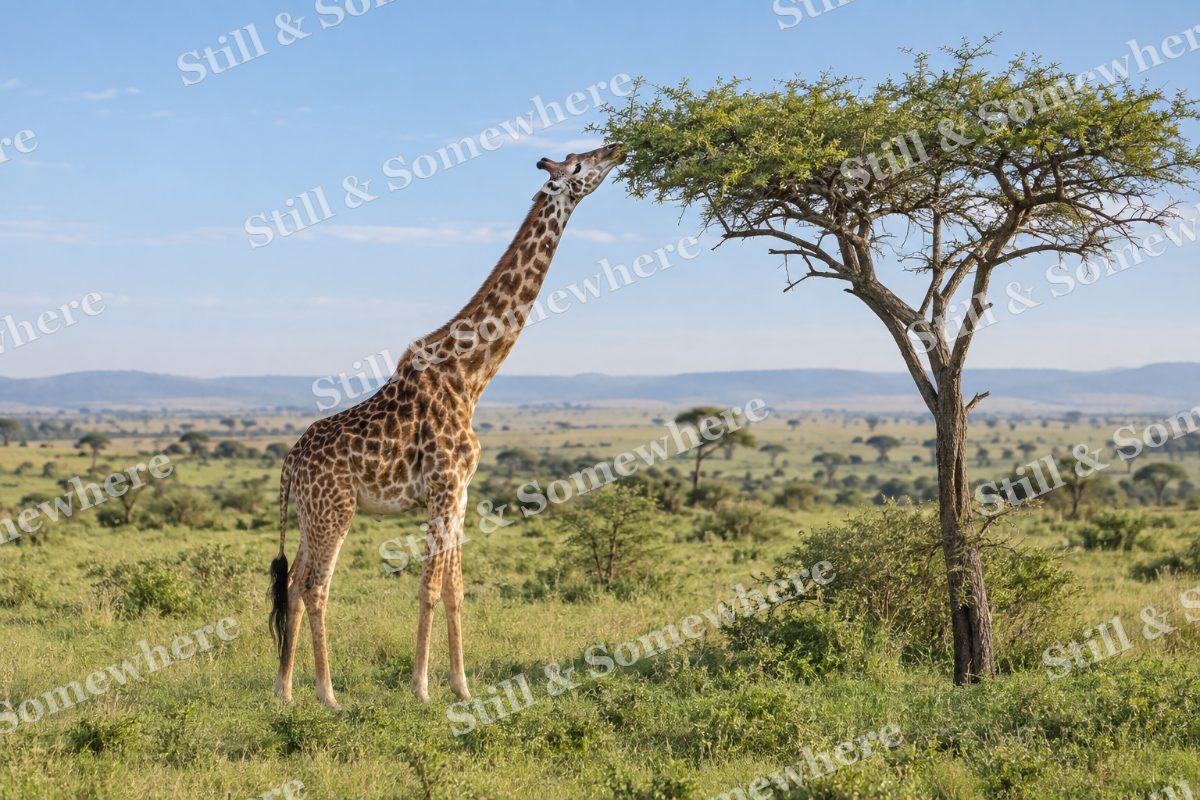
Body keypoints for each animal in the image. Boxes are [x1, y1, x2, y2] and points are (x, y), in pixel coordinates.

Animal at [269, 143, 626, 708]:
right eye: (579, 166)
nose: (616, 148)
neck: (470, 376)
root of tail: (288, 464)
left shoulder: (460, 492)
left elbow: (457, 589)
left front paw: (461, 686)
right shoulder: (441, 487)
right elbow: (430, 587)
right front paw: (420, 687)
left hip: (309, 513)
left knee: (294, 583)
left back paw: (284, 690)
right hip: (335, 510)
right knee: (315, 586)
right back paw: (327, 693)